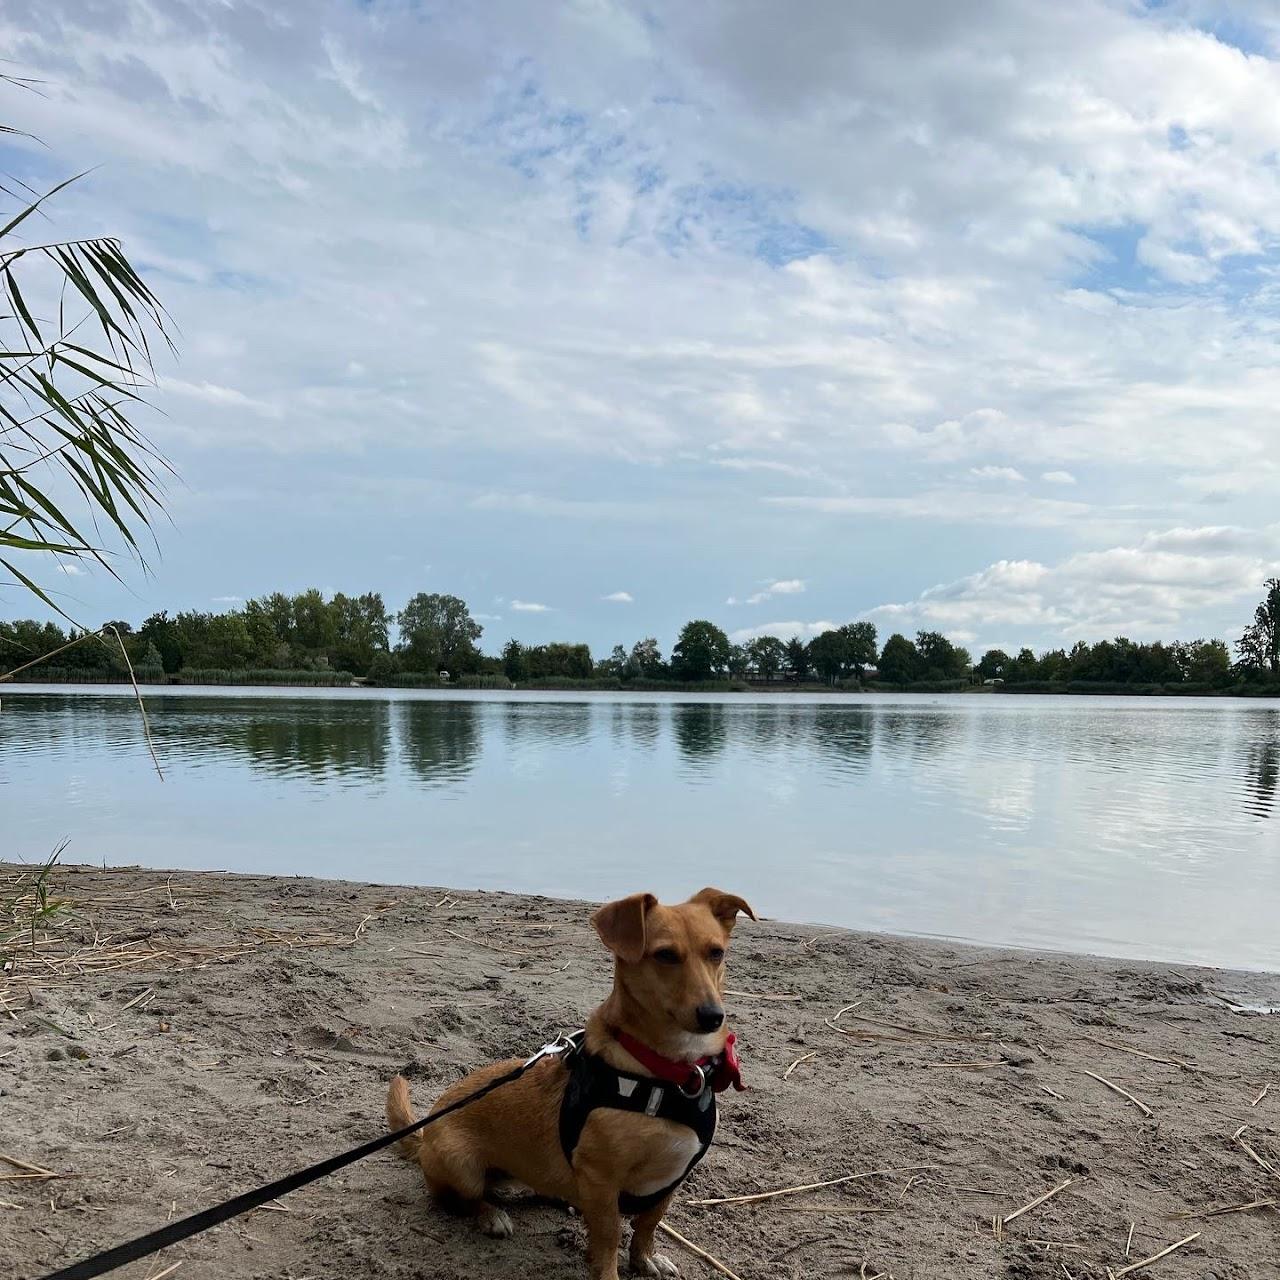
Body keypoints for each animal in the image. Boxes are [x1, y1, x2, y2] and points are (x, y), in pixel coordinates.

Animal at [384, 890, 752, 1280]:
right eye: (665, 955)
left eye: (717, 953)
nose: (713, 1016)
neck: (667, 1075)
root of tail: (427, 1131)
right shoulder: (602, 1180)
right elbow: (609, 1237)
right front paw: (609, 1272)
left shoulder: (672, 1179)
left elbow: (648, 1223)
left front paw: (644, 1257)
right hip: (461, 1166)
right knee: (463, 1199)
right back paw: (492, 1216)